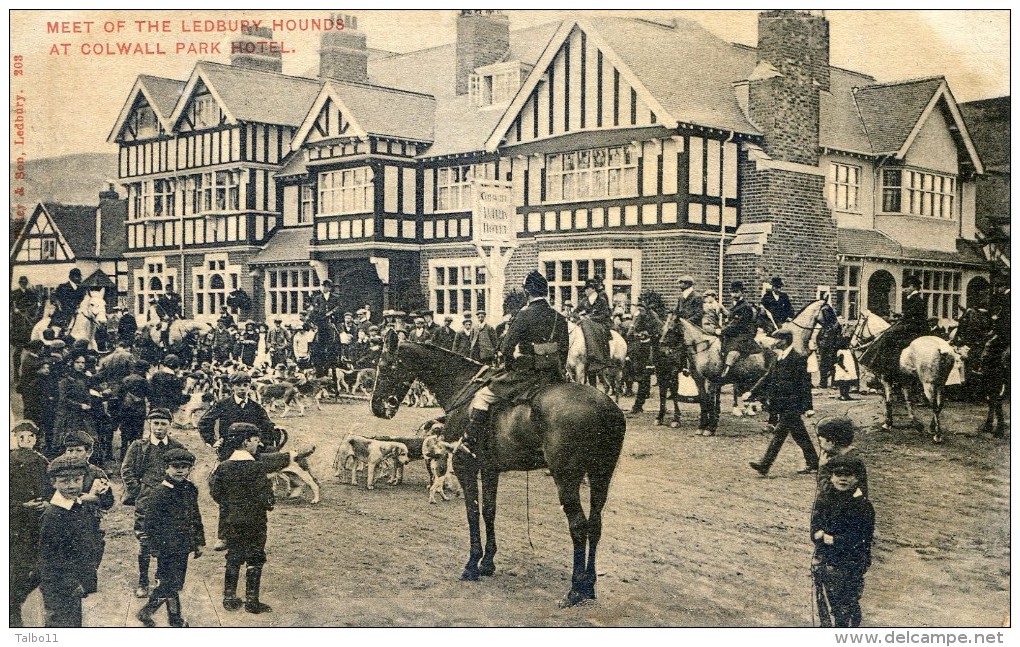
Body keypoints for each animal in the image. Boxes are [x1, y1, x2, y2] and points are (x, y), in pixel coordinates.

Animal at [373, 334, 628, 608]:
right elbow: (489, 511)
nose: (376, 407)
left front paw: (472, 565)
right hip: (601, 474)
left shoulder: (465, 466)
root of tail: (606, 407)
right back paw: (589, 585)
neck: (463, 387)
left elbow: (472, 512)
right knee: (595, 523)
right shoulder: (489, 468)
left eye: (385, 365)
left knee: (579, 526)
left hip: (566, 477)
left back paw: (575, 589)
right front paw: (487, 563)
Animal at [677, 302, 828, 432]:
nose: (775, 330)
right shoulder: (700, 380)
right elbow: (704, 401)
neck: (704, 348)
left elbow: (710, 402)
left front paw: (710, 427)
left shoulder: (712, 381)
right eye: (765, 315)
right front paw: (703, 426)